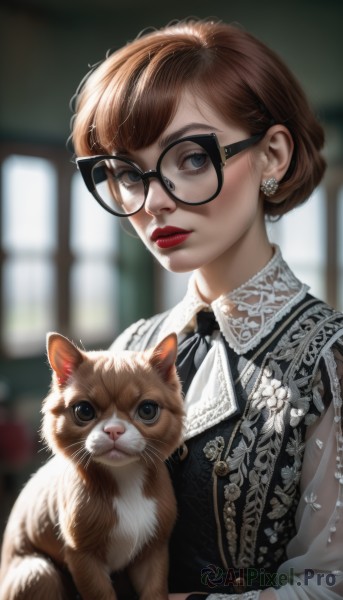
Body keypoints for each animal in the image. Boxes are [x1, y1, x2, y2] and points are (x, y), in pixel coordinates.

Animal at [0, 332, 184, 600]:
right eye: (84, 410)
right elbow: (100, 593)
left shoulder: (152, 553)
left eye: (148, 409)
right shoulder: (83, 557)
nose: (114, 429)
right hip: (37, 573)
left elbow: (155, 591)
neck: (123, 477)